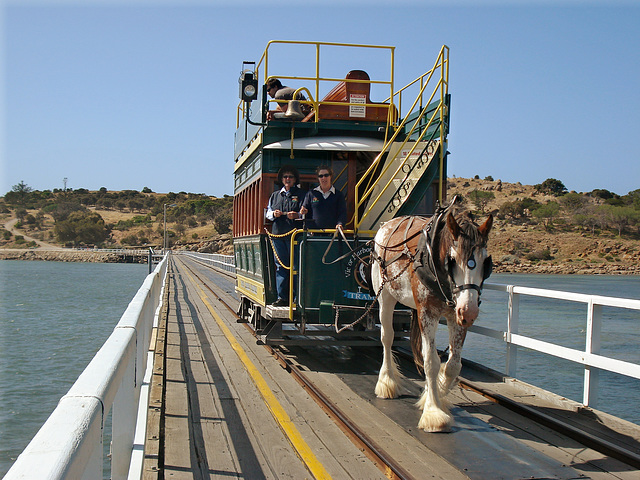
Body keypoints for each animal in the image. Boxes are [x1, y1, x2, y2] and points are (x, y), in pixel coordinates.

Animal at [368, 197, 492, 434]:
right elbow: (431, 362)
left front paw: (434, 394)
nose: (470, 311)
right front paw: (434, 413)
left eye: (486, 263)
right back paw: (387, 382)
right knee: (387, 337)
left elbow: (453, 365)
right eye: (452, 260)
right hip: (385, 295)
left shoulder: (455, 316)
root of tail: (388, 225)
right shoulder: (428, 312)